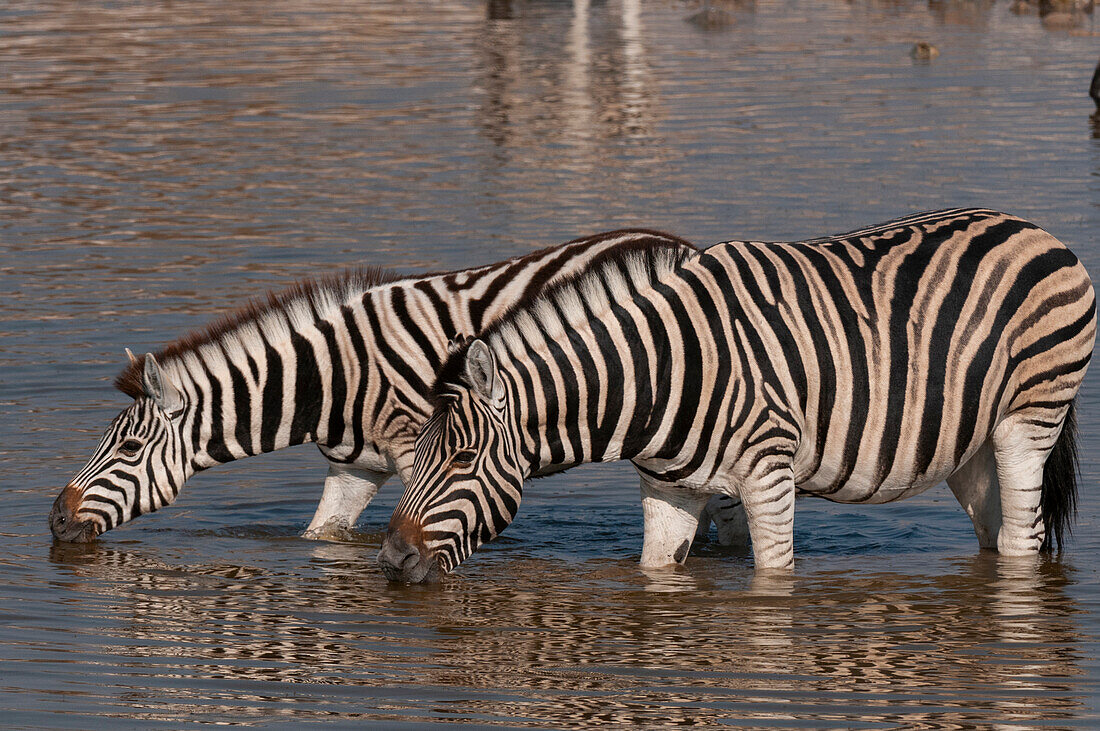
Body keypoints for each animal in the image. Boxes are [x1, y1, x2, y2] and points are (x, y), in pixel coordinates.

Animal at [51, 228, 743, 540]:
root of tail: (684, 244)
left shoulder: (420, 454)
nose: (55, 522)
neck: (330, 379)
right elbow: (321, 536)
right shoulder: (353, 468)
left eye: (127, 449)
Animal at [382, 207, 1095, 580]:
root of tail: (1034, 228)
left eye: (462, 459)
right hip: (969, 444)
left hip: (1028, 419)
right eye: (416, 457)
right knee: (995, 533)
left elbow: (771, 580)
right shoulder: (669, 488)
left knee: (1022, 539)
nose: (388, 558)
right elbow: (656, 571)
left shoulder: (770, 475)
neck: (661, 373)